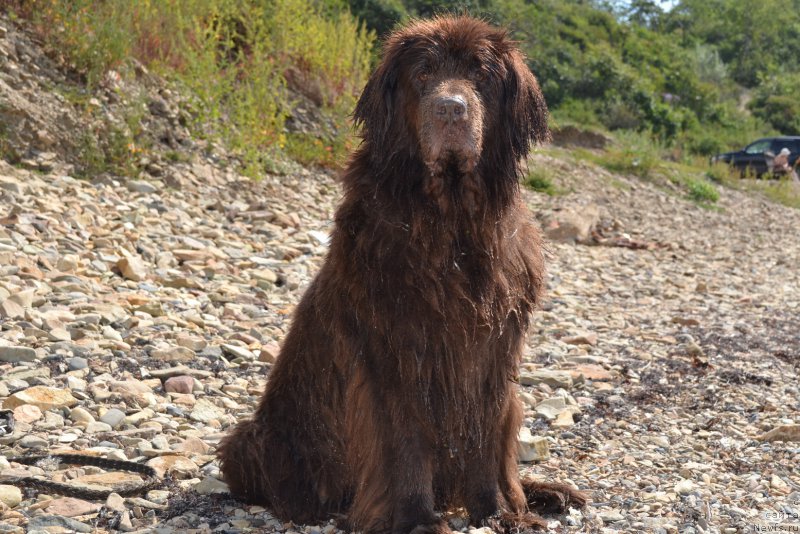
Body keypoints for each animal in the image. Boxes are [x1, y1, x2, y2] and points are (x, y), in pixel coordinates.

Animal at [219, 14, 588, 532]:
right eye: (423, 74)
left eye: (481, 75)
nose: (451, 109)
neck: (451, 226)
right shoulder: (393, 349)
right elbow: (404, 441)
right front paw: (416, 518)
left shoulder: (494, 350)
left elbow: (485, 437)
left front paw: (497, 512)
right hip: (253, 441)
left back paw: (545, 493)